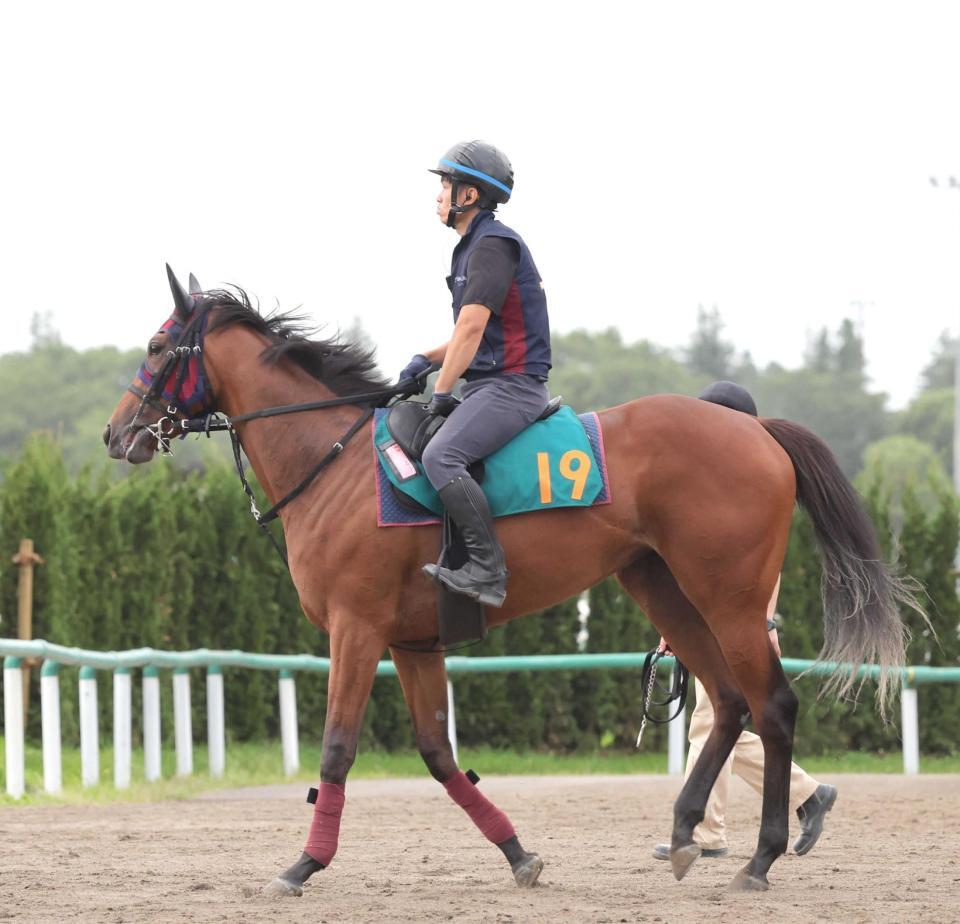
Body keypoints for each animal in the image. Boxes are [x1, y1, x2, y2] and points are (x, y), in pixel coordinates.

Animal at [101, 268, 920, 896]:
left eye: (156, 346)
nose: (116, 433)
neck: (332, 461)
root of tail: (755, 430)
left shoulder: (356, 631)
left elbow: (336, 750)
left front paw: (303, 864)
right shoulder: (414, 643)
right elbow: (438, 754)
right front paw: (519, 854)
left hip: (730, 598)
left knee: (771, 705)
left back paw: (760, 858)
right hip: (662, 588)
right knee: (727, 703)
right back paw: (687, 830)